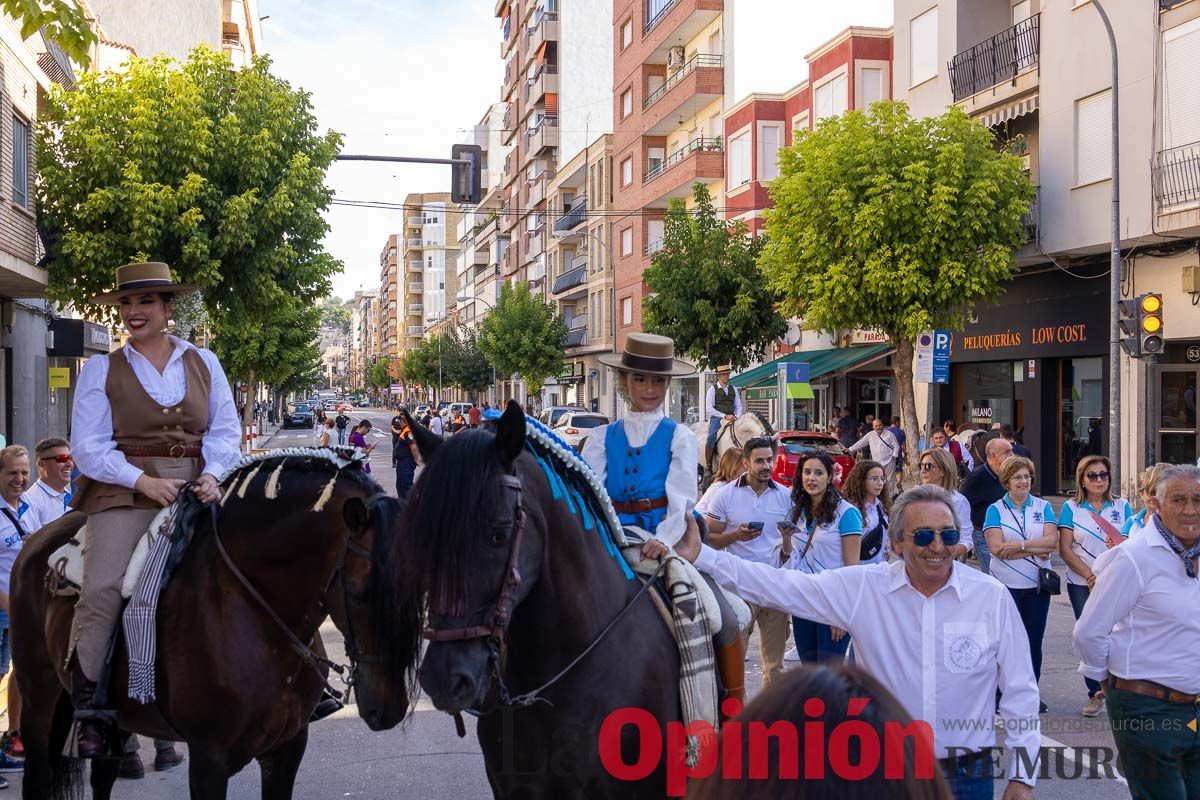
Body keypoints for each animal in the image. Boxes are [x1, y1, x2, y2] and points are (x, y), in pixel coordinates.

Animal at [8, 453, 412, 796]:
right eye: (360, 593)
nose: (389, 709)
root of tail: (39, 538)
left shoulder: (287, 749)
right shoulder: (209, 761)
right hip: (38, 696)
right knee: (38, 776)